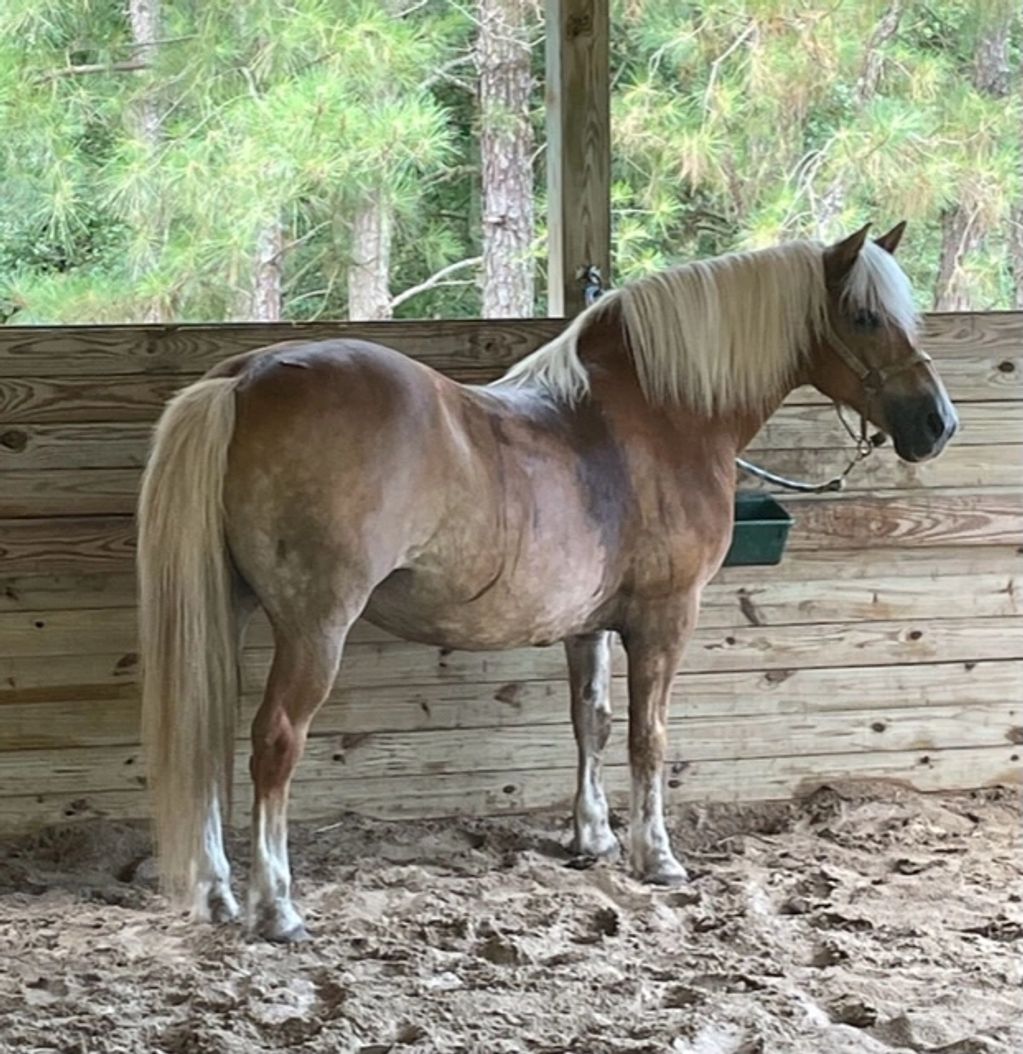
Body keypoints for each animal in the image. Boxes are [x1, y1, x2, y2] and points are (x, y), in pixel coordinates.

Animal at [138, 222, 957, 941]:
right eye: (863, 316)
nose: (937, 423)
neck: (655, 413)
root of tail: (245, 378)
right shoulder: (665, 619)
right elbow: (649, 736)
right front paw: (655, 857)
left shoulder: (589, 624)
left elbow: (590, 721)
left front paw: (591, 839)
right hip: (316, 627)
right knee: (275, 742)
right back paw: (275, 908)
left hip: (231, 611)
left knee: (211, 736)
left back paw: (217, 894)